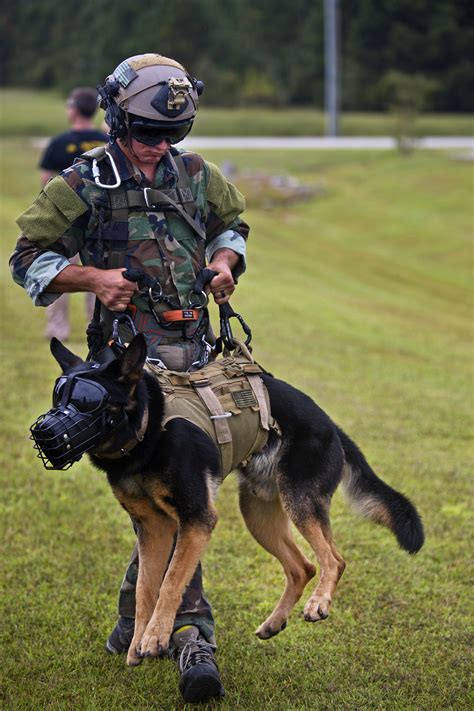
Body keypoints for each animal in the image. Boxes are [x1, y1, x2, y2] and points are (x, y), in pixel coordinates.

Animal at [46, 334, 424, 668]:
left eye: (86, 400)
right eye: (57, 396)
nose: (42, 432)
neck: (148, 428)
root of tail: (332, 425)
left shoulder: (196, 519)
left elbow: (170, 584)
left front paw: (155, 637)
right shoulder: (153, 529)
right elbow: (144, 590)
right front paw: (138, 642)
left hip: (299, 502)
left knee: (334, 559)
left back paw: (319, 603)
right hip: (258, 515)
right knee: (303, 566)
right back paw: (274, 622)